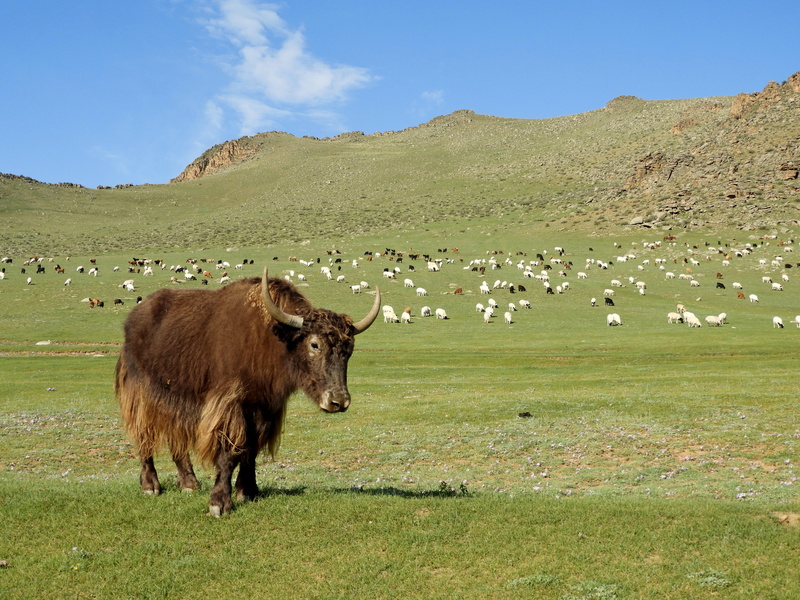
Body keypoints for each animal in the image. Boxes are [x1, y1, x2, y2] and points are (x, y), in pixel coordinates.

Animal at [115, 268, 381, 516]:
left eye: (349, 349)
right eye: (314, 345)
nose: (339, 401)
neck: (271, 340)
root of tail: (132, 318)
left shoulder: (264, 408)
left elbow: (251, 449)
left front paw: (248, 491)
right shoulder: (230, 405)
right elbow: (230, 452)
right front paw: (219, 503)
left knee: (175, 437)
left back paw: (189, 483)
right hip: (141, 393)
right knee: (143, 435)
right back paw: (150, 485)